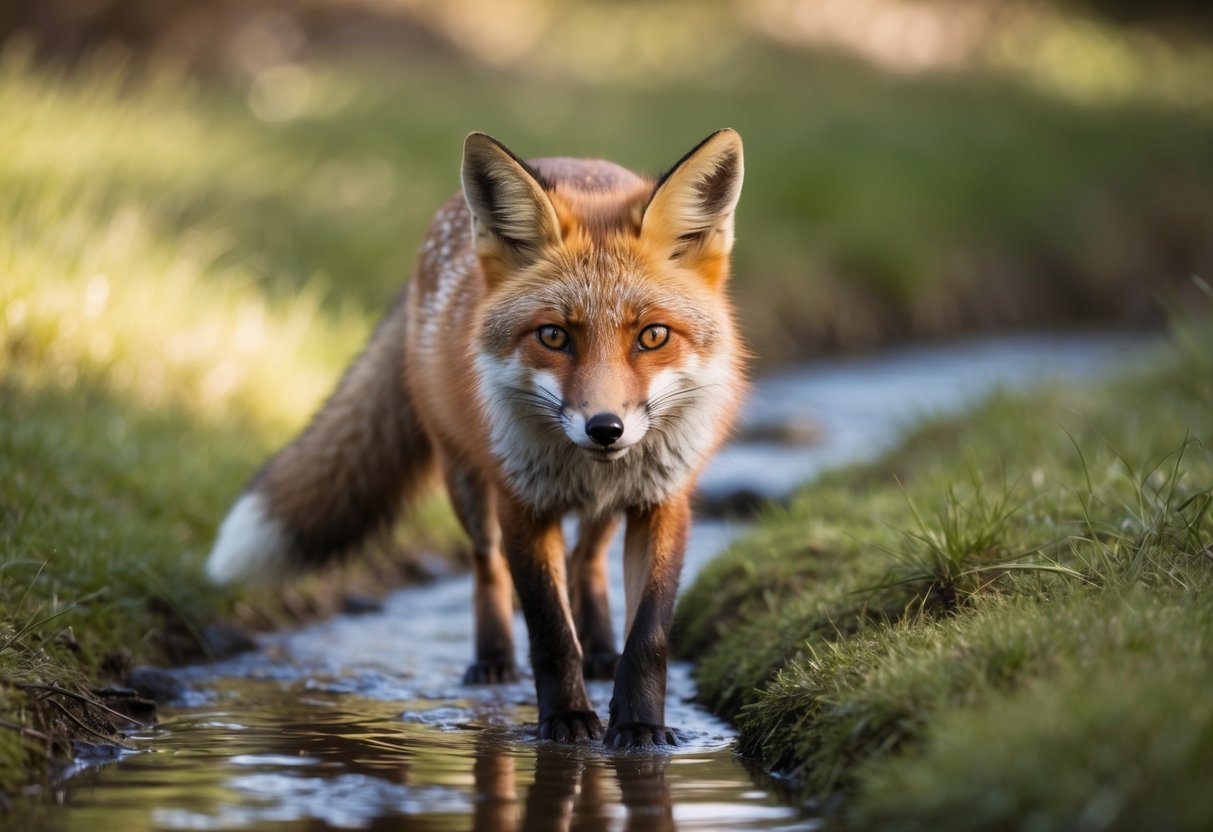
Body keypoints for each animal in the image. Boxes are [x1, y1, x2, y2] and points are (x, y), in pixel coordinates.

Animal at [206, 129, 746, 747]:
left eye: (653, 336)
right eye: (553, 336)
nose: (605, 428)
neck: (583, 468)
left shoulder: (663, 501)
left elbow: (650, 637)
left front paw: (639, 725)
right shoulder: (522, 504)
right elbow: (549, 632)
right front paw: (566, 720)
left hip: (611, 505)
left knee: (586, 558)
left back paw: (600, 649)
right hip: (465, 483)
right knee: (488, 568)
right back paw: (493, 661)